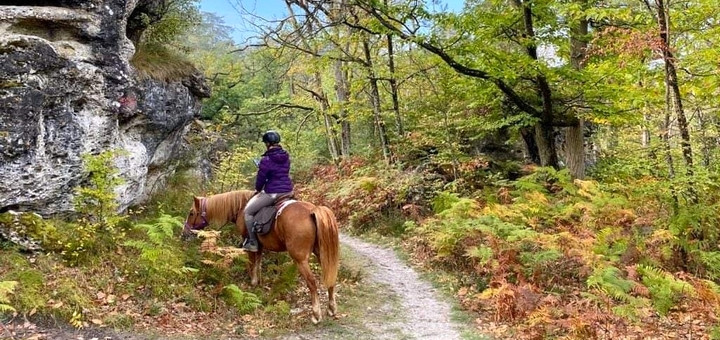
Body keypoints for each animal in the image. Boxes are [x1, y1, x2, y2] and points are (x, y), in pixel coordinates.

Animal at [179, 190, 338, 322]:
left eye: (191, 213)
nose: (183, 234)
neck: (241, 208)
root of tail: (313, 210)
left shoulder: (249, 242)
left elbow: (252, 263)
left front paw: (253, 283)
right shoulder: (260, 246)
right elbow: (258, 263)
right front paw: (259, 283)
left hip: (300, 259)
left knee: (312, 282)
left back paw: (316, 314)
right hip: (322, 254)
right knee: (330, 278)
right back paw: (331, 308)